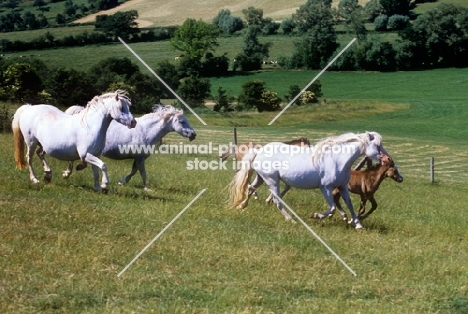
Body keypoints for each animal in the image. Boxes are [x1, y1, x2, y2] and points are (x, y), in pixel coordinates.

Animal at [65, 104, 197, 190]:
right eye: (182, 122)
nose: (193, 134)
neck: (145, 131)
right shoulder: (139, 157)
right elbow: (142, 173)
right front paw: (146, 188)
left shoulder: (139, 158)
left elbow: (134, 171)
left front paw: (122, 182)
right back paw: (68, 173)